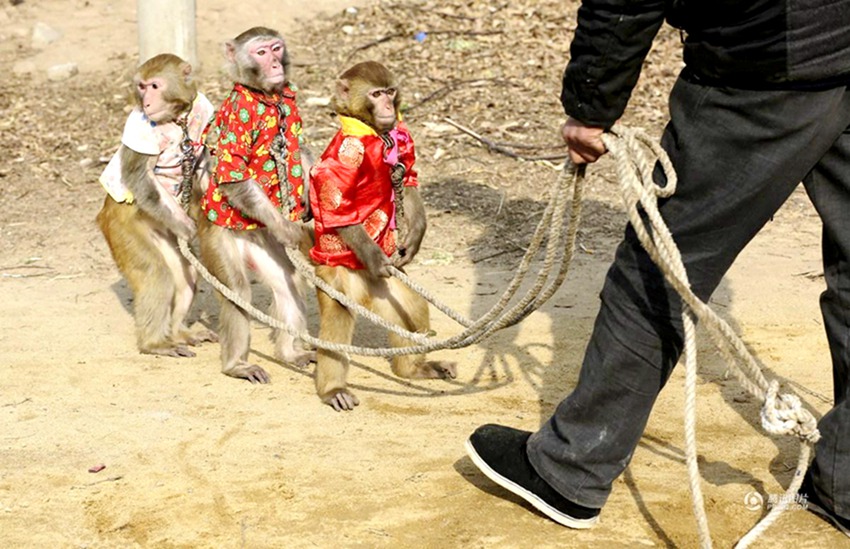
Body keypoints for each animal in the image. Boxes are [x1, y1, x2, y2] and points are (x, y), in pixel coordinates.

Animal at [96, 53, 217, 358]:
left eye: (154, 85)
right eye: (141, 87)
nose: (147, 102)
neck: (177, 117)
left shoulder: (203, 106)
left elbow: (202, 163)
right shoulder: (138, 127)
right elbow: (140, 176)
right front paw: (188, 228)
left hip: (161, 230)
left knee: (185, 275)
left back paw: (178, 333)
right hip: (123, 228)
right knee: (156, 274)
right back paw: (154, 344)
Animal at [199, 25, 314, 384]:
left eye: (276, 48)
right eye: (261, 53)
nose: (275, 65)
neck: (268, 97)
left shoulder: (291, 108)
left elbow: (300, 149)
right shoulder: (240, 116)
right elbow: (234, 174)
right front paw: (286, 227)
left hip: (265, 247)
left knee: (289, 282)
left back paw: (289, 353)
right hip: (217, 240)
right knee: (237, 291)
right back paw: (236, 365)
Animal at [308, 61, 458, 412]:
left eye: (390, 91)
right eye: (376, 95)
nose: (389, 107)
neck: (375, 133)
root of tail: (365, 289)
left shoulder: (402, 136)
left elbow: (410, 176)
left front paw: (413, 239)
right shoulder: (348, 152)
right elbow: (335, 204)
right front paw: (376, 257)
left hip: (388, 290)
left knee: (412, 307)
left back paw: (414, 369)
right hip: (336, 278)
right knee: (337, 316)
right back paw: (333, 389)